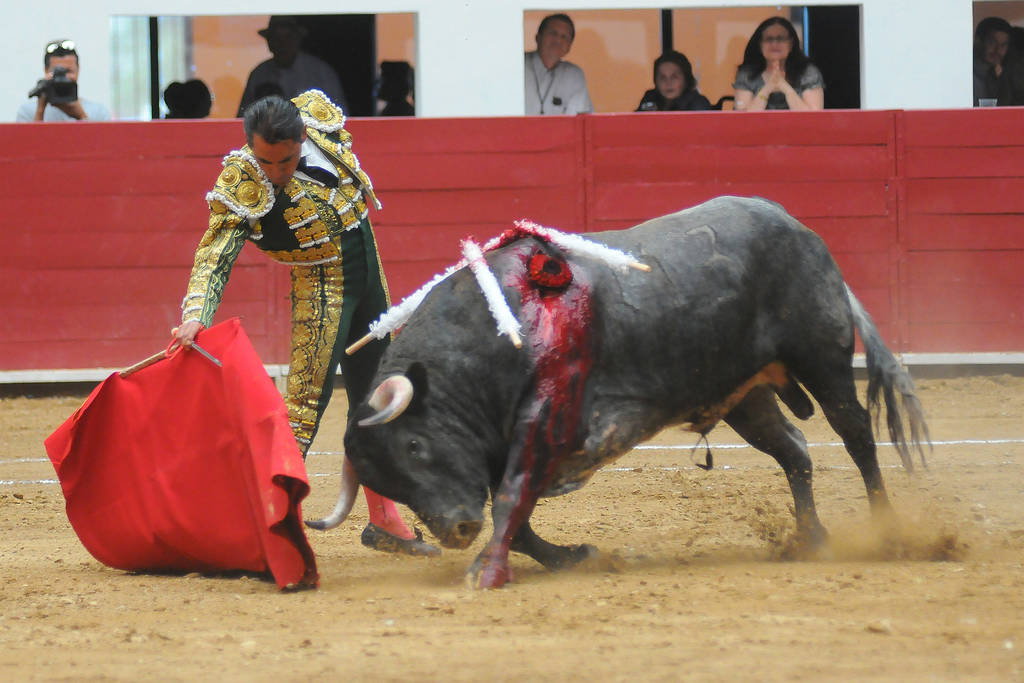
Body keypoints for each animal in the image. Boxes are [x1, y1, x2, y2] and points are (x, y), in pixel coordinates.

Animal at [305, 196, 929, 589]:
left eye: (414, 447)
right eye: (389, 484)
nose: (456, 530)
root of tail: (801, 230)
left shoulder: (544, 420)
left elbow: (511, 500)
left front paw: (486, 571)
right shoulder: (507, 447)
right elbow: (521, 519)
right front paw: (570, 557)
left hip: (822, 359)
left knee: (857, 437)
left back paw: (888, 532)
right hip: (745, 396)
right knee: (795, 450)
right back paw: (811, 539)